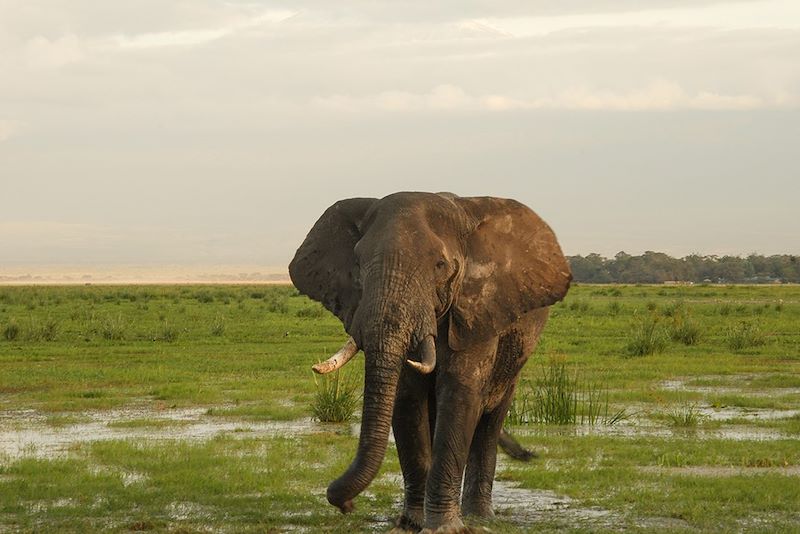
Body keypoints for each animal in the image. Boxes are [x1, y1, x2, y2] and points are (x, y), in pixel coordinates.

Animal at [288, 192, 568, 532]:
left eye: (440, 265)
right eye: (358, 262)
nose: (347, 505)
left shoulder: (476, 309)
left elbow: (460, 395)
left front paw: (444, 527)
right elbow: (407, 401)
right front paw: (411, 523)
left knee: (490, 422)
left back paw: (479, 516)